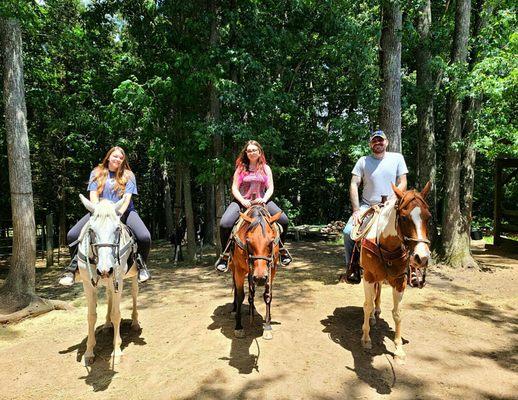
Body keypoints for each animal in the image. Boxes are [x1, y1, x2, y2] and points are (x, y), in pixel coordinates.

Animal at [76, 194, 139, 366]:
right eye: (91, 230)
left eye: (117, 229)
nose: (106, 270)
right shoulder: (87, 284)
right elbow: (91, 316)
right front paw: (89, 352)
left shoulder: (118, 280)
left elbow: (116, 314)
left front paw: (116, 351)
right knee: (109, 296)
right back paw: (106, 324)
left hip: (133, 277)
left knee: (134, 294)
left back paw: (135, 323)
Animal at [230, 205, 282, 340]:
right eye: (248, 241)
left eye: (271, 242)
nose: (260, 278)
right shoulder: (239, 270)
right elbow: (240, 295)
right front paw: (238, 327)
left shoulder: (272, 270)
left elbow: (268, 295)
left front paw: (267, 326)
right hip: (234, 268)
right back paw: (234, 309)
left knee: (251, 290)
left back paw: (251, 309)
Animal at [358, 183, 434, 360]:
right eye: (404, 218)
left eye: (428, 217)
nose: (422, 257)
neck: (386, 244)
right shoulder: (368, 276)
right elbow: (367, 305)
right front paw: (366, 339)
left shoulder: (400, 281)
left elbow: (397, 313)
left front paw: (398, 349)